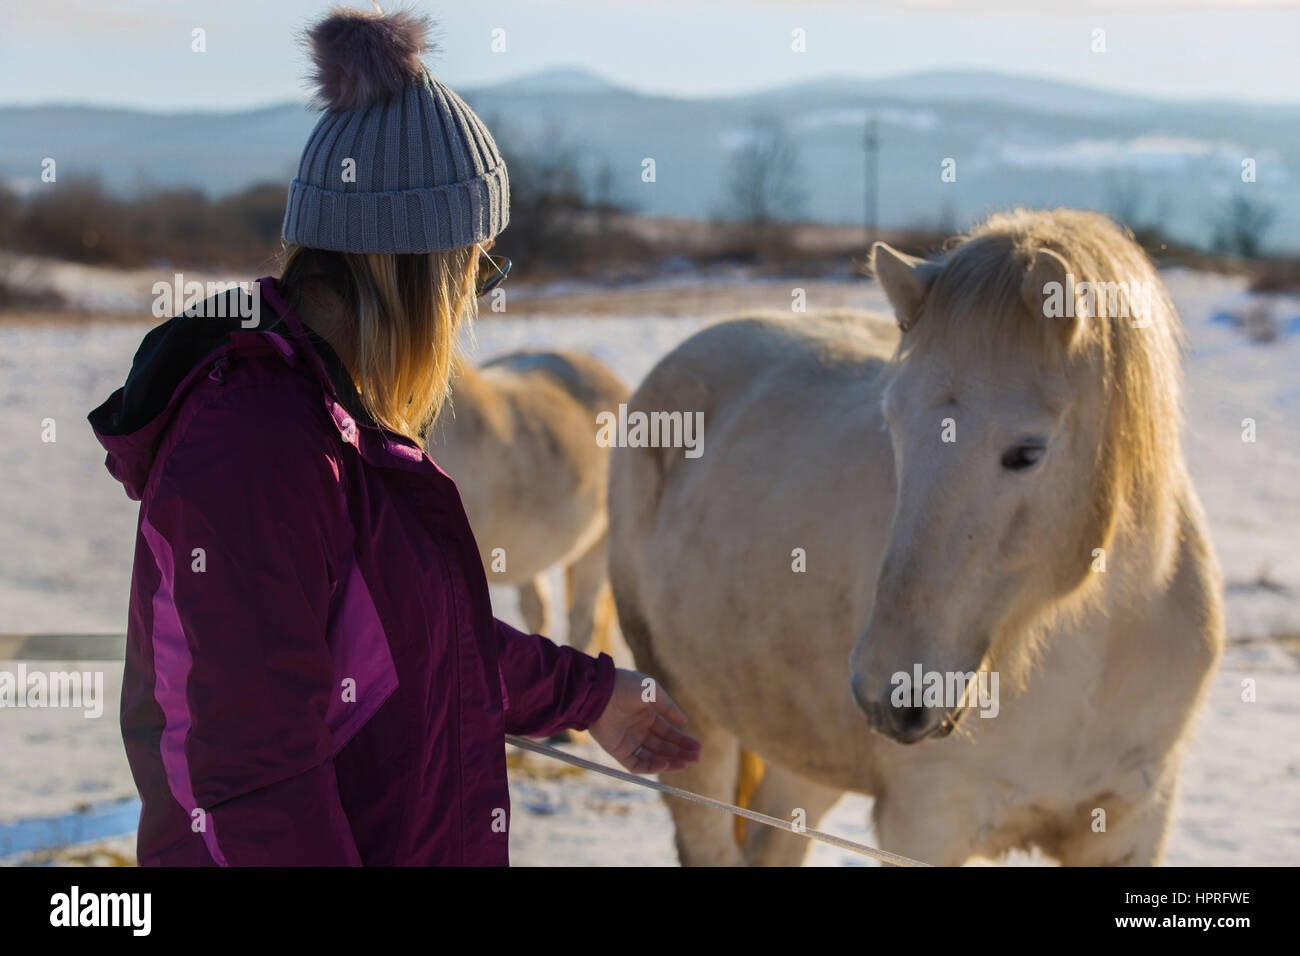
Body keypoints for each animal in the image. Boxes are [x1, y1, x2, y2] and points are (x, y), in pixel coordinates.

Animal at [605, 209, 1216, 868]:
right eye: (893, 425)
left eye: (1027, 452)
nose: (887, 693)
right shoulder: (926, 826)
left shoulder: (1131, 827)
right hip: (690, 720)